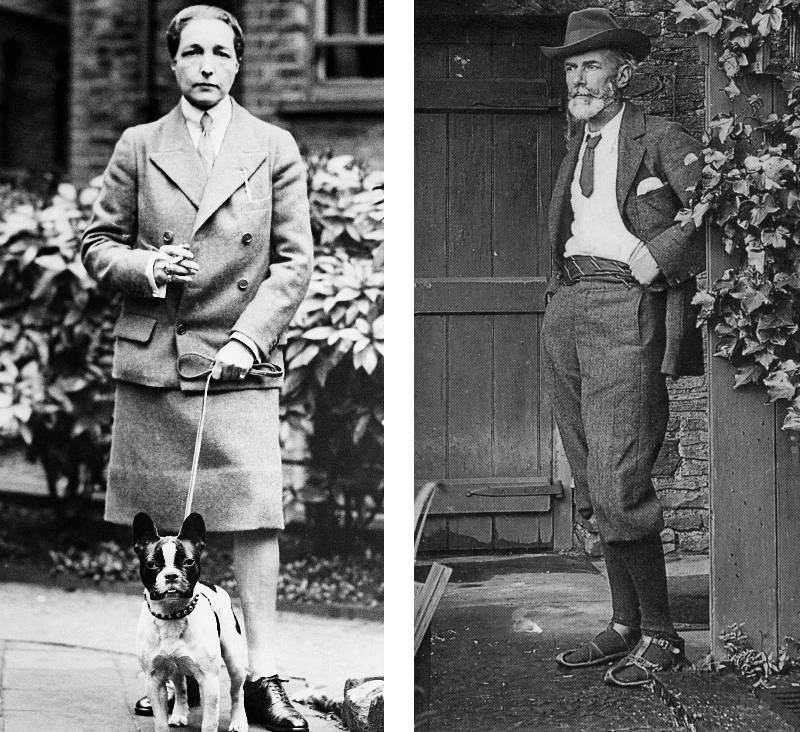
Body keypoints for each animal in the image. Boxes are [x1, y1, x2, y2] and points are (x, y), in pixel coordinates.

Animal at [133, 512, 248, 732]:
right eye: (151, 564)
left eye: (188, 562)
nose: (171, 575)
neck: (172, 615)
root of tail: (211, 584)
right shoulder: (154, 680)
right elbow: (160, 721)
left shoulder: (209, 680)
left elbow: (209, 723)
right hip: (175, 668)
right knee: (181, 687)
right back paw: (179, 714)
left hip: (235, 660)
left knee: (237, 691)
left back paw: (238, 721)